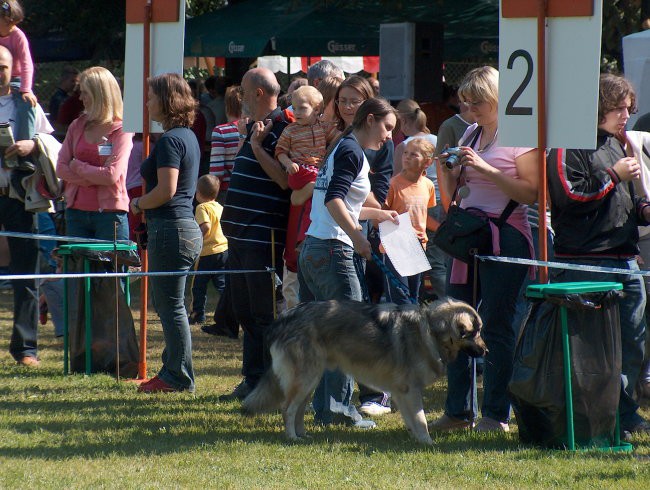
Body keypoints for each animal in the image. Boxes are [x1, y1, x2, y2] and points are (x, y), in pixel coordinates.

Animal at [240, 298, 484, 444]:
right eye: (474, 333)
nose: (486, 350)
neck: (430, 331)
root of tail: (282, 319)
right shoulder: (411, 390)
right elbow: (421, 419)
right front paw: (427, 443)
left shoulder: (402, 392)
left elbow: (411, 419)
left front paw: (415, 438)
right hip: (305, 379)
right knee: (287, 408)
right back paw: (292, 438)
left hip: (310, 379)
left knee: (298, 409)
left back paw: (302, 434)